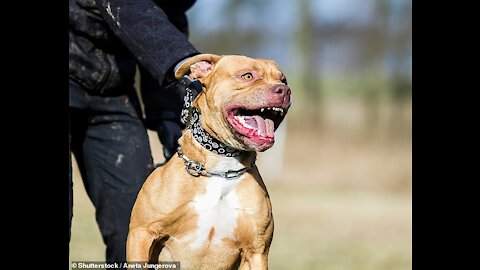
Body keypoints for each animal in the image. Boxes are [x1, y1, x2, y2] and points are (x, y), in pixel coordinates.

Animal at [125, 53, 290, 268]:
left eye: (283, 80)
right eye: (247, 76)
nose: (284, 90)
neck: (221, 169)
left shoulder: (256, 251)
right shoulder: (142, 233)